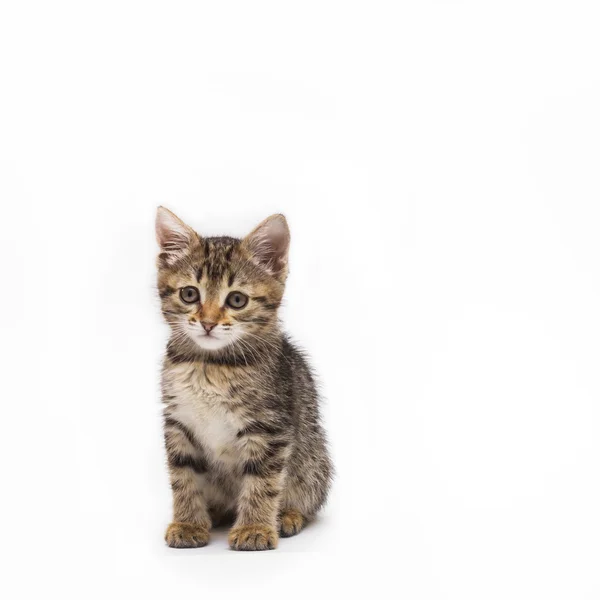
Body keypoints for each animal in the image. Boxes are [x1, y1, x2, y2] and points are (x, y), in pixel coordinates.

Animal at [155, 207, 332, 552]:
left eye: (237, 300)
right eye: (189, 294)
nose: (208, 323)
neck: (210, 365)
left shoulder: (270, 426)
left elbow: (262, 481)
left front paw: (254, 528)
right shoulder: (178, 423)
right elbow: (183, 477)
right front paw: (188, 522)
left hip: (314, 459)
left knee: (307, 495)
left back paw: (287, 515)